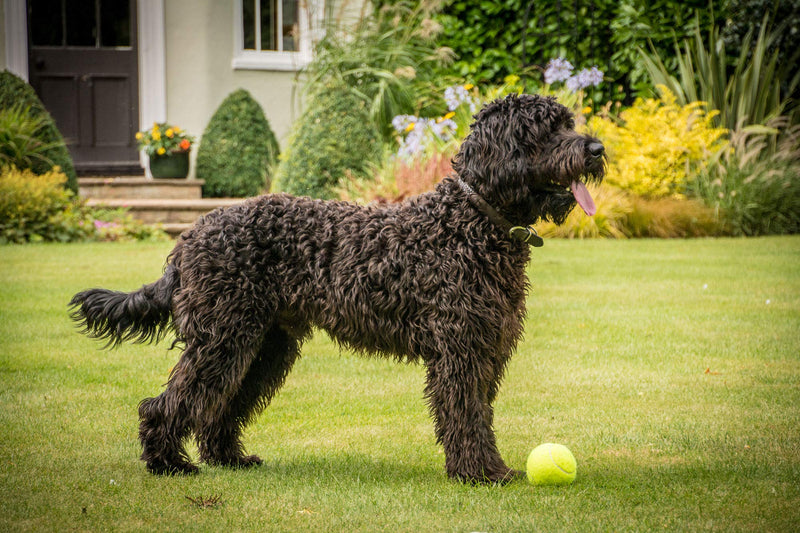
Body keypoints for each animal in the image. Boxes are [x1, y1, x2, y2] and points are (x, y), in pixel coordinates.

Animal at [72, 93, 604, 484]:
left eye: (567, 122)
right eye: (545, 131)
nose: (596, 149)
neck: (472, 222)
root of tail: (190, 237)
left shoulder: (486, 348)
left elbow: (480, 415)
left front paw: (490, 469)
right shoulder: (461, 350)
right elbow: (467, 414)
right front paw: (478, 474)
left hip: (262, 344)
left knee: (221, 406)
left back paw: (228, 459)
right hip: (222, 338)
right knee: (169, 403)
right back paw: (168, 464)